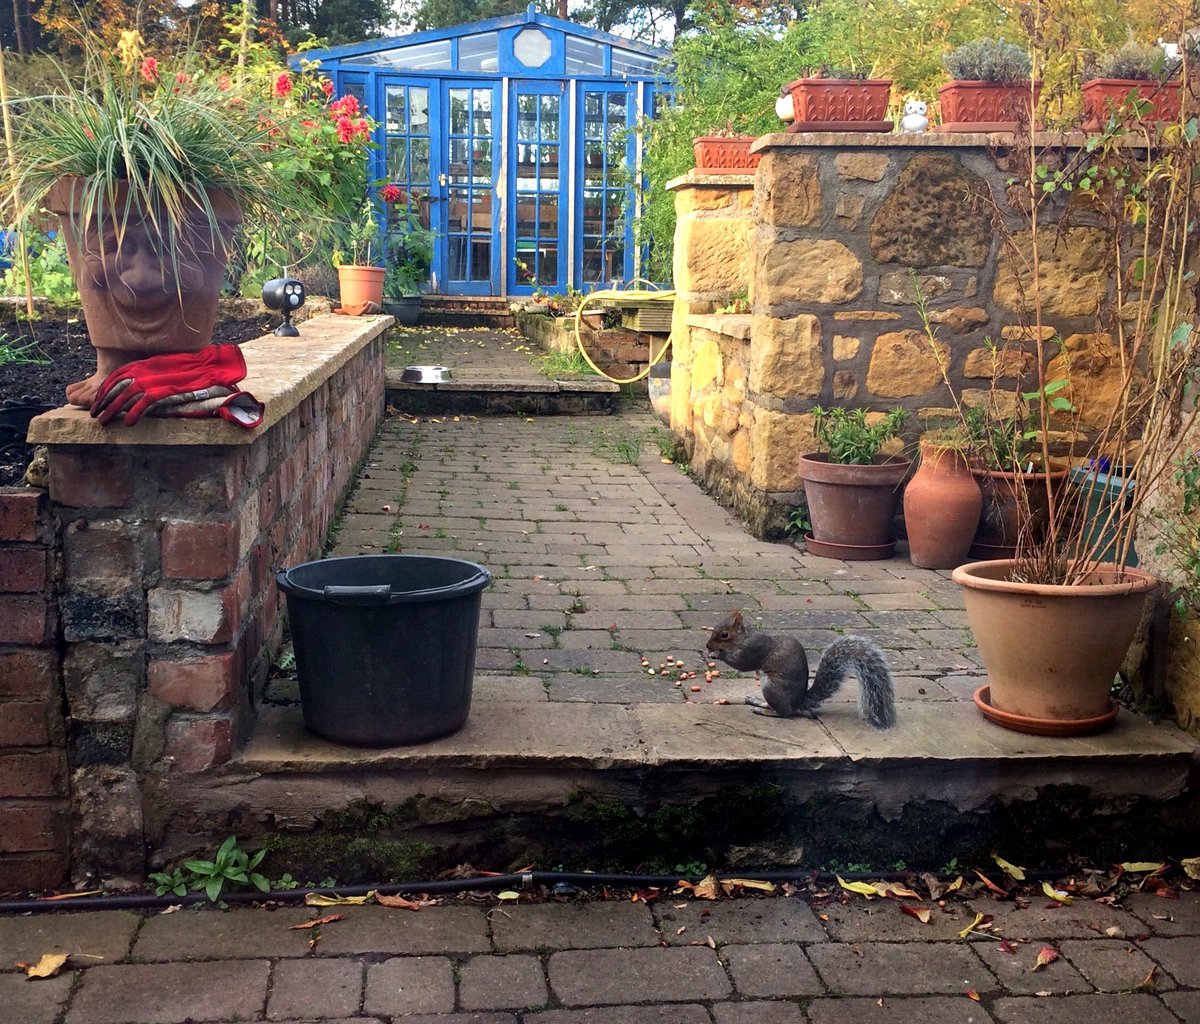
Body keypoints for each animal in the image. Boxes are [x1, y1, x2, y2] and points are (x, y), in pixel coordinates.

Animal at [705, 610, 896, 729]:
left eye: (724, 635)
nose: (707, 645)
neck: (744, 637)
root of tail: (799, 702)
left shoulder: (754, 650)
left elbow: (741, 663)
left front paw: (716, 654)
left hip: (771, 686)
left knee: (785, 713)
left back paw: (764, 711)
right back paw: (757, 701)